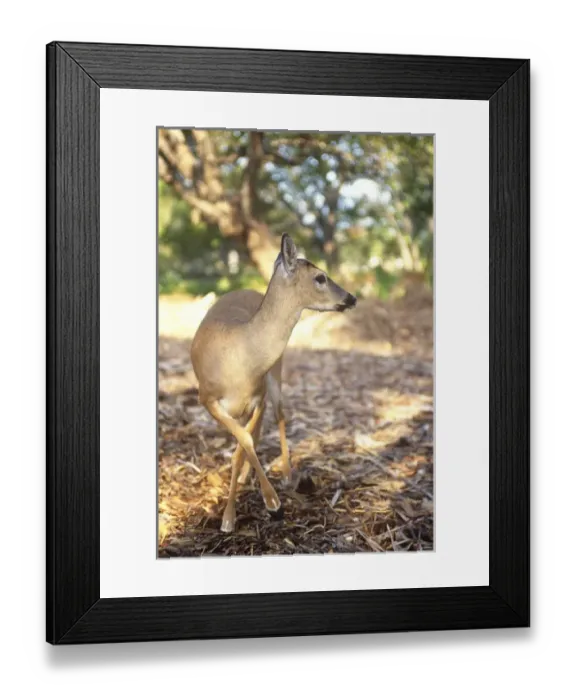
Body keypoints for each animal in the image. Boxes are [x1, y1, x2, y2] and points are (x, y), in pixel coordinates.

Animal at [190, 233, 357, 533]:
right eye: (320, 277)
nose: (352, 297)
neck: (240, 356)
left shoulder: (260, 395)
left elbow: (244, 443)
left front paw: (271, 504)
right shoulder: (206, 397)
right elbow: (244, 440)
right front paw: (234, 516)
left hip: (276, 371)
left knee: (278, 414)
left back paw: (287, 474)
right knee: (253, 433)